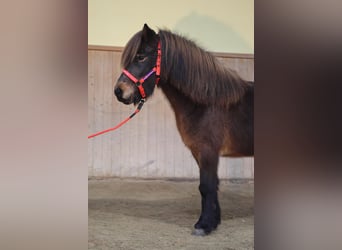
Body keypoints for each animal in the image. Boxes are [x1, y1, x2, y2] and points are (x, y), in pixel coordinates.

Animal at [113, 23, 252, 236]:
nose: (119, 91)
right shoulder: (198, 152)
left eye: (141, 57)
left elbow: (206, 186)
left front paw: (203, 225)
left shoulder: (208, 151)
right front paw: (214, 221)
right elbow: (212, 186)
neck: (208, 102)